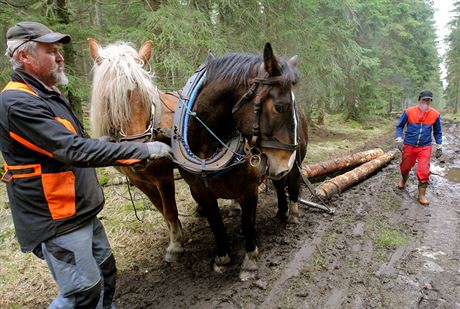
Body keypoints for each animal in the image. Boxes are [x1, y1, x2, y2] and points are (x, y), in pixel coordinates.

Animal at [87, 39, 183, 262]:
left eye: (146, 96)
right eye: (109, 99)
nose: (138, 152)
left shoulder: (164, 177)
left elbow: (170, 210)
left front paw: (175, 246)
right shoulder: (140, 182)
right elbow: (162, 211)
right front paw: (177, 234)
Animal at [175, 43, 298, 280]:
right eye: (279, 107)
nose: (285, 163)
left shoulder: (248, 189)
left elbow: (247, 222)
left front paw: (250, 259)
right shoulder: (199, 191)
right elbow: (215, 222)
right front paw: (222, 257)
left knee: (290, 184)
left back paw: (291, 212)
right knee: (279, 184)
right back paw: (281, 211)